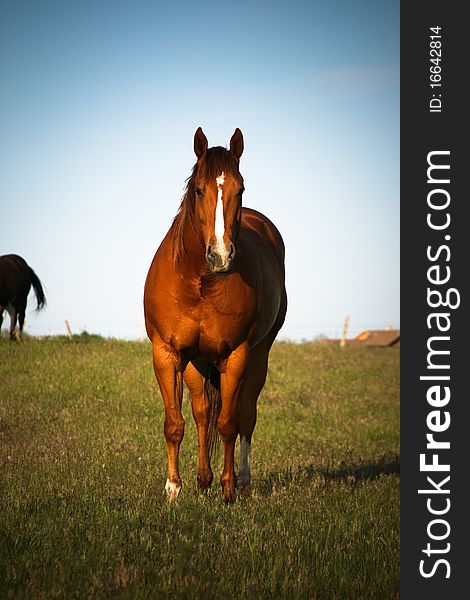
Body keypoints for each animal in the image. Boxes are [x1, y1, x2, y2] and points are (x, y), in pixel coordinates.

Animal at [143, 129, 286, 504]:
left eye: (241, 189)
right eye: (198, 189)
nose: (221, 255)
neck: (200, 281)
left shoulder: (235, 356)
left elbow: (229, 424)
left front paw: (228, 489)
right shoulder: (167, 353)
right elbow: (176, 423)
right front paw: (173, 489)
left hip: (258, 356)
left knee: (245, 414)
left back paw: (242, 481)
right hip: (196, 362)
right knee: (202, 414)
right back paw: (203, 479)